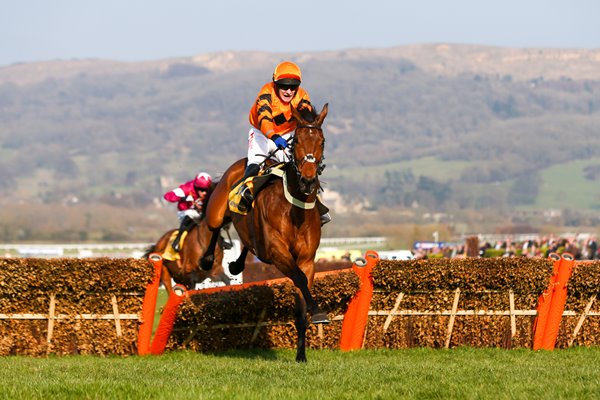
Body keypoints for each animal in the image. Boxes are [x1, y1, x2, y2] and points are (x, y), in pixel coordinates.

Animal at [200, 103, 328, 362]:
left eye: (322, 141)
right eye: (296, 141)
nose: (308, 181)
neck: (294, 209)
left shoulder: (307, 259)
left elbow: (302, 295)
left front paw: (301, 354)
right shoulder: (278, 252)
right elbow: (299, 278)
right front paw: (319, 312)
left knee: (248, 242)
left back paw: (236, 265)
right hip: (218, 210)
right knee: (214, 226)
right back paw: (208, 259)